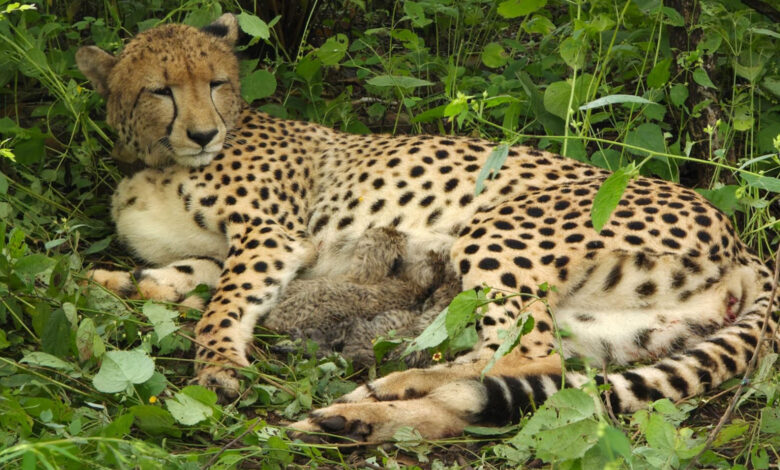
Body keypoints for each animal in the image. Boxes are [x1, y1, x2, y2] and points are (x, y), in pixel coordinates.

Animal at [76, 13, 778, 442]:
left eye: (217, 82)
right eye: (160, 90)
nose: (203, 133)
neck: (158, 160)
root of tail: (744, 242)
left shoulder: (272, 237)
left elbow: (221, 305)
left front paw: (217, 365)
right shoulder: (234, 252)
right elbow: (178, 277)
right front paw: (108, 283)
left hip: (499, 229)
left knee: (530, 354)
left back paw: (379, 395)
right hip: (614, 328)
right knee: (519, 377)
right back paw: (365, 412)